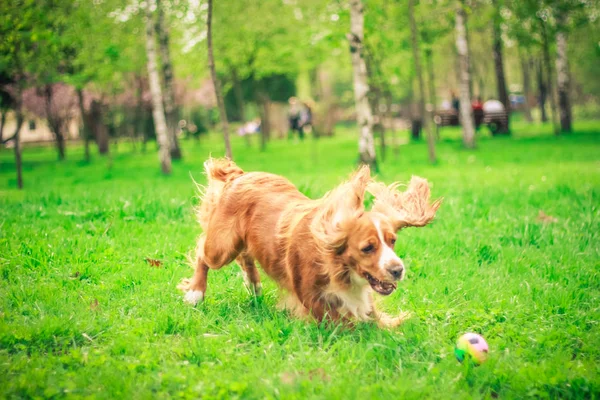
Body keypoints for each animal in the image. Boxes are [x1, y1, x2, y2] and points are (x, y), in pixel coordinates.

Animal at [178, 158, 440, 326]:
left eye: (392, 241)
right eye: (368, 248)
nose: (398, 270)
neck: (337, 266)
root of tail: (240, 176)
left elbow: (374, 315)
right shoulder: (311, 298)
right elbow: (345, 323)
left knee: (246, 257)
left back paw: (254, 285)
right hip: (222, 245)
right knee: (203, 252)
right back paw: (195, 293)